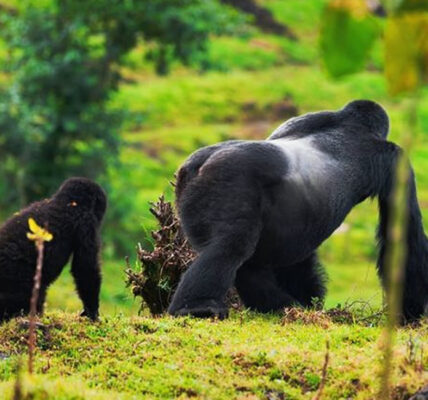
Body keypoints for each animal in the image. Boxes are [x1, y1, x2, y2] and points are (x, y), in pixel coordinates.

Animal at [169, 100, 428, 322]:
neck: (350, 123)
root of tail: (196, 165)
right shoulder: (394, 159)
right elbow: (405, 237)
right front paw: (410, 313)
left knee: (247, 263)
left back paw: (278, 306)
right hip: (228, 180)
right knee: (231, 247)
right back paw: (199, 307)